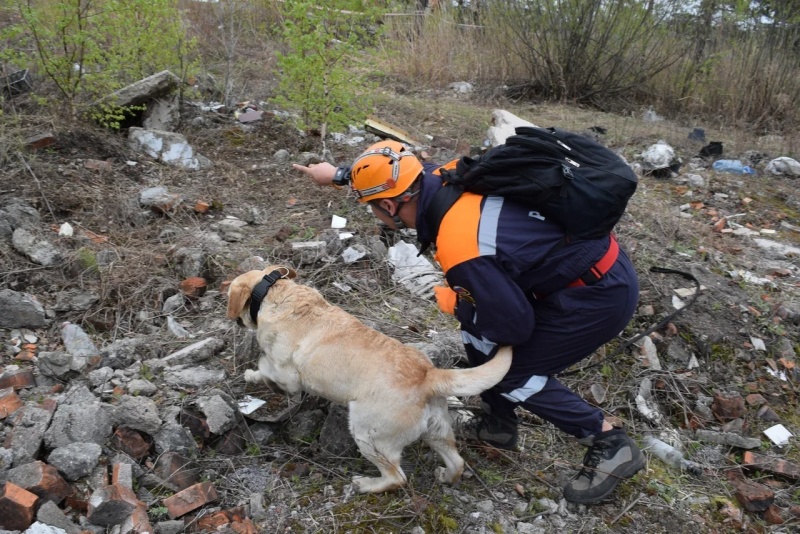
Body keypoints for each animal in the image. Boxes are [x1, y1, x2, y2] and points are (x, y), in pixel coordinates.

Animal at [225, 266, 512, 496]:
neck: (275, 293)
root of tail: (427, 375)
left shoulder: (288, 375)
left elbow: (266, 367)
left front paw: (254, 375)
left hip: (368, 435)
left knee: (397, 477)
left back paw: (366, 484)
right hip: (437, 432)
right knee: (457, 462)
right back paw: (446, 477)